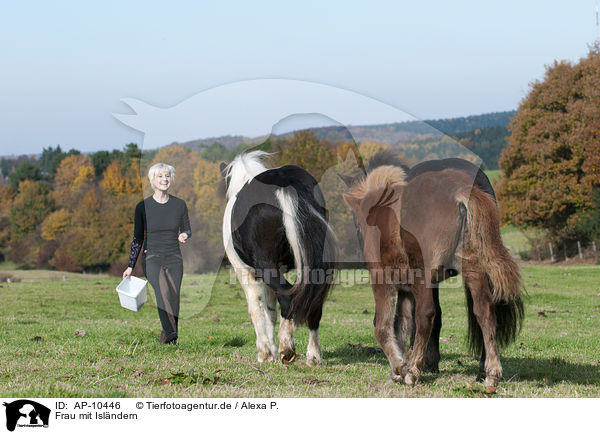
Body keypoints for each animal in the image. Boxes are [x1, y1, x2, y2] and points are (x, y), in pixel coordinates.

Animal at [221, 151, 338, 364]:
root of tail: (282, 180)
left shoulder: (245, 272)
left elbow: (257, 310)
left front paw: (265, 353)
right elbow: (270, 311)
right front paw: (272, 352)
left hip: (266, 266)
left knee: (288, 299)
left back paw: (287, 347)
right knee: (313, 303)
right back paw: (313, 355)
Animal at [344, 167, 524, 394]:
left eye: (358, 224)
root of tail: (459, 191)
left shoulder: (383, 279)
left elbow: (383, 326)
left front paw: (401, 367)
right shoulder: (406, 289)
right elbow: (403, 326)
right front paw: (398, 369)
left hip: (424, 273)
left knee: (426, 314)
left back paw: (413, 372)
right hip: (472, 267)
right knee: (484, 311)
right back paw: (491, 375)